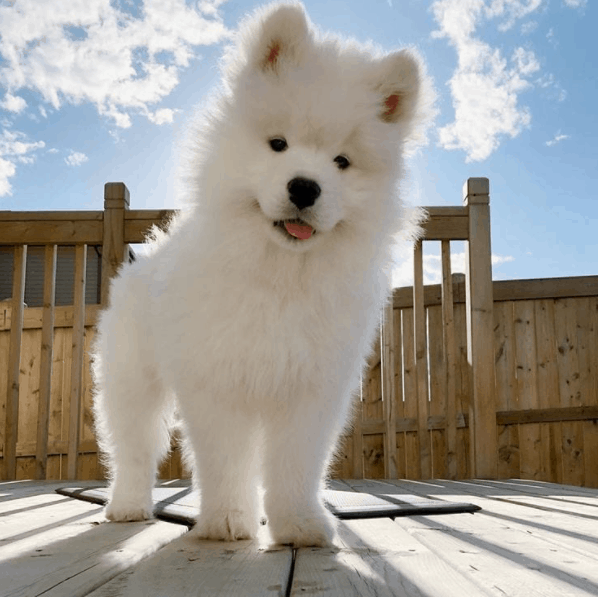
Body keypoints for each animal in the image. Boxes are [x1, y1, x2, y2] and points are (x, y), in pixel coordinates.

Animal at [92, 0, 432, 548]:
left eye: (342, 161)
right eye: (278, 144)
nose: (305, 186)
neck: (280, 275)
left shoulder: (310, 389)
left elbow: (294, 465)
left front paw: (299, 525)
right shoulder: (218, 381)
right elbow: (226, 461)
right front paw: (229, 522)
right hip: (131, 381)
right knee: (134, 448)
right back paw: (126, 506)